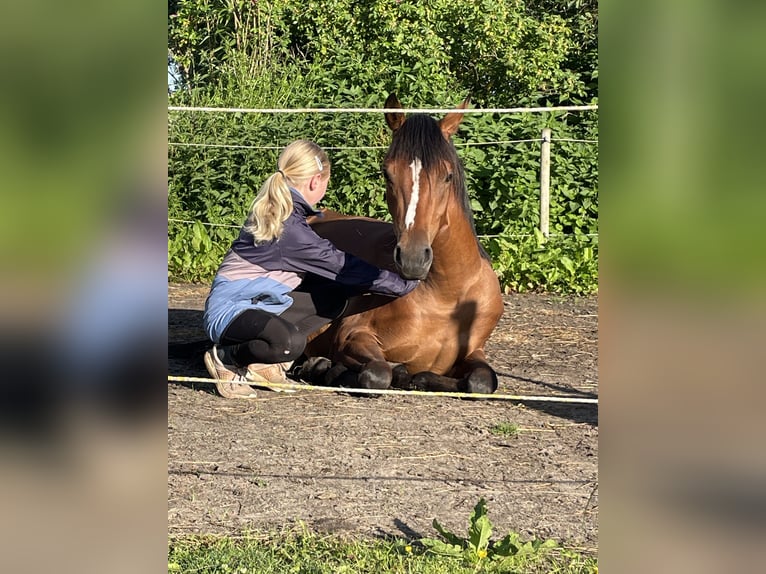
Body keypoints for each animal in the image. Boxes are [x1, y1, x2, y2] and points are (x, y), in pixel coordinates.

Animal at [296, 94, 508, 396]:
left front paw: (422, 378)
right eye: (387, 173)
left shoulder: (475, 351)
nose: (413, 258)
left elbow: (481, 381)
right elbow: (377, 373)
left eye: (447, 175)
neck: (446, 297)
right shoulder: (352, 335)